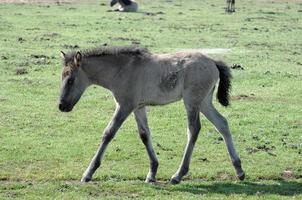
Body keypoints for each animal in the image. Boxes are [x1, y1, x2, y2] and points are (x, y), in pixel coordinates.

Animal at [57, 46, 244, 184]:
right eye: (62, 77)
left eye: (71, 79)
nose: (61, 106)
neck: (121, 70)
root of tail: (213, 61)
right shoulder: (138, 107)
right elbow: (144, 134)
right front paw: (152, 173)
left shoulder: (125, 106)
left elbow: (108, 133)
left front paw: (88, 173)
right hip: (204, 102)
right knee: (222, 123)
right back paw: (239, 170)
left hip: (192, 101)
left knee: (194, 130)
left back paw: (178, 175)